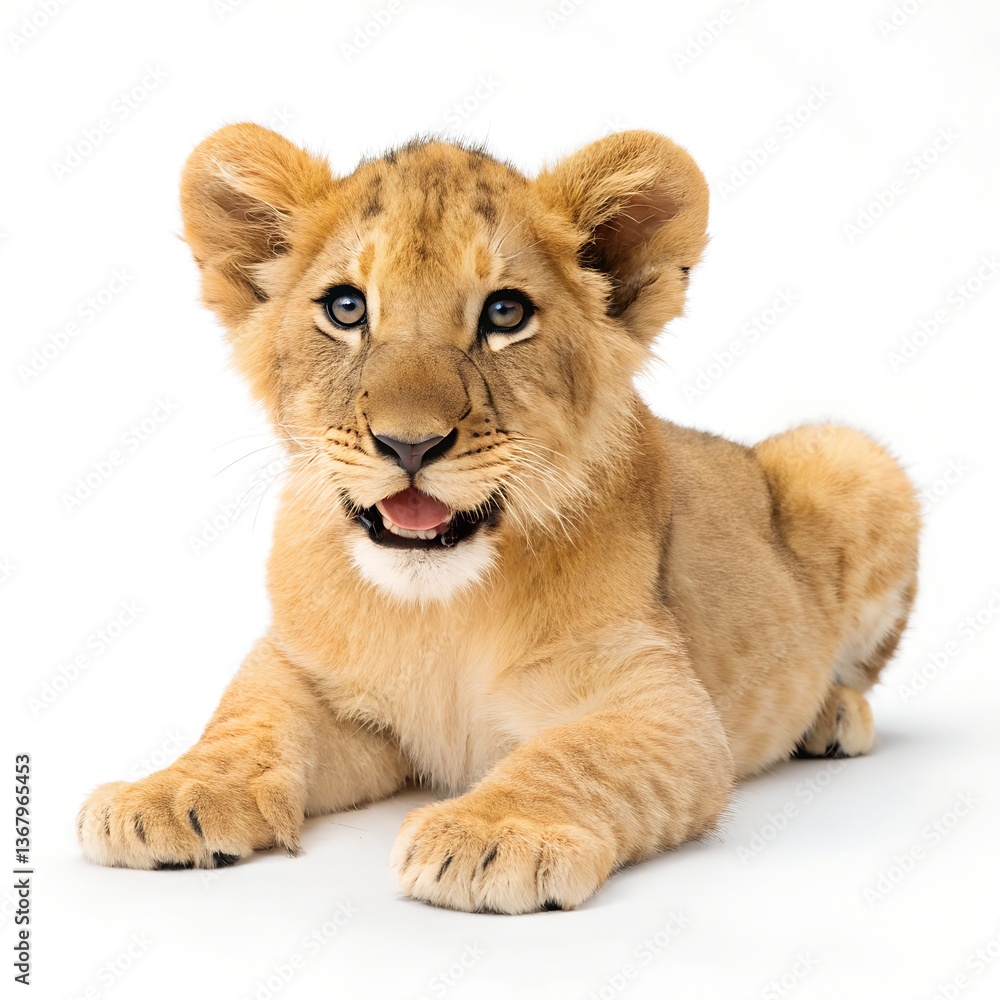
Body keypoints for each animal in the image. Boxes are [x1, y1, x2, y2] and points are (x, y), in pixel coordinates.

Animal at [77, 125, 920, 913]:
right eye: (346, 308)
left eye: (505, 313)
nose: (409, 444)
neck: (439, 609)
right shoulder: (307, 671)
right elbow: (247, 720)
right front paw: (170, 794)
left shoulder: (661, 704)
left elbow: (575, 757)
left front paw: (495, 835)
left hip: (848, 459)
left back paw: (831, 717)